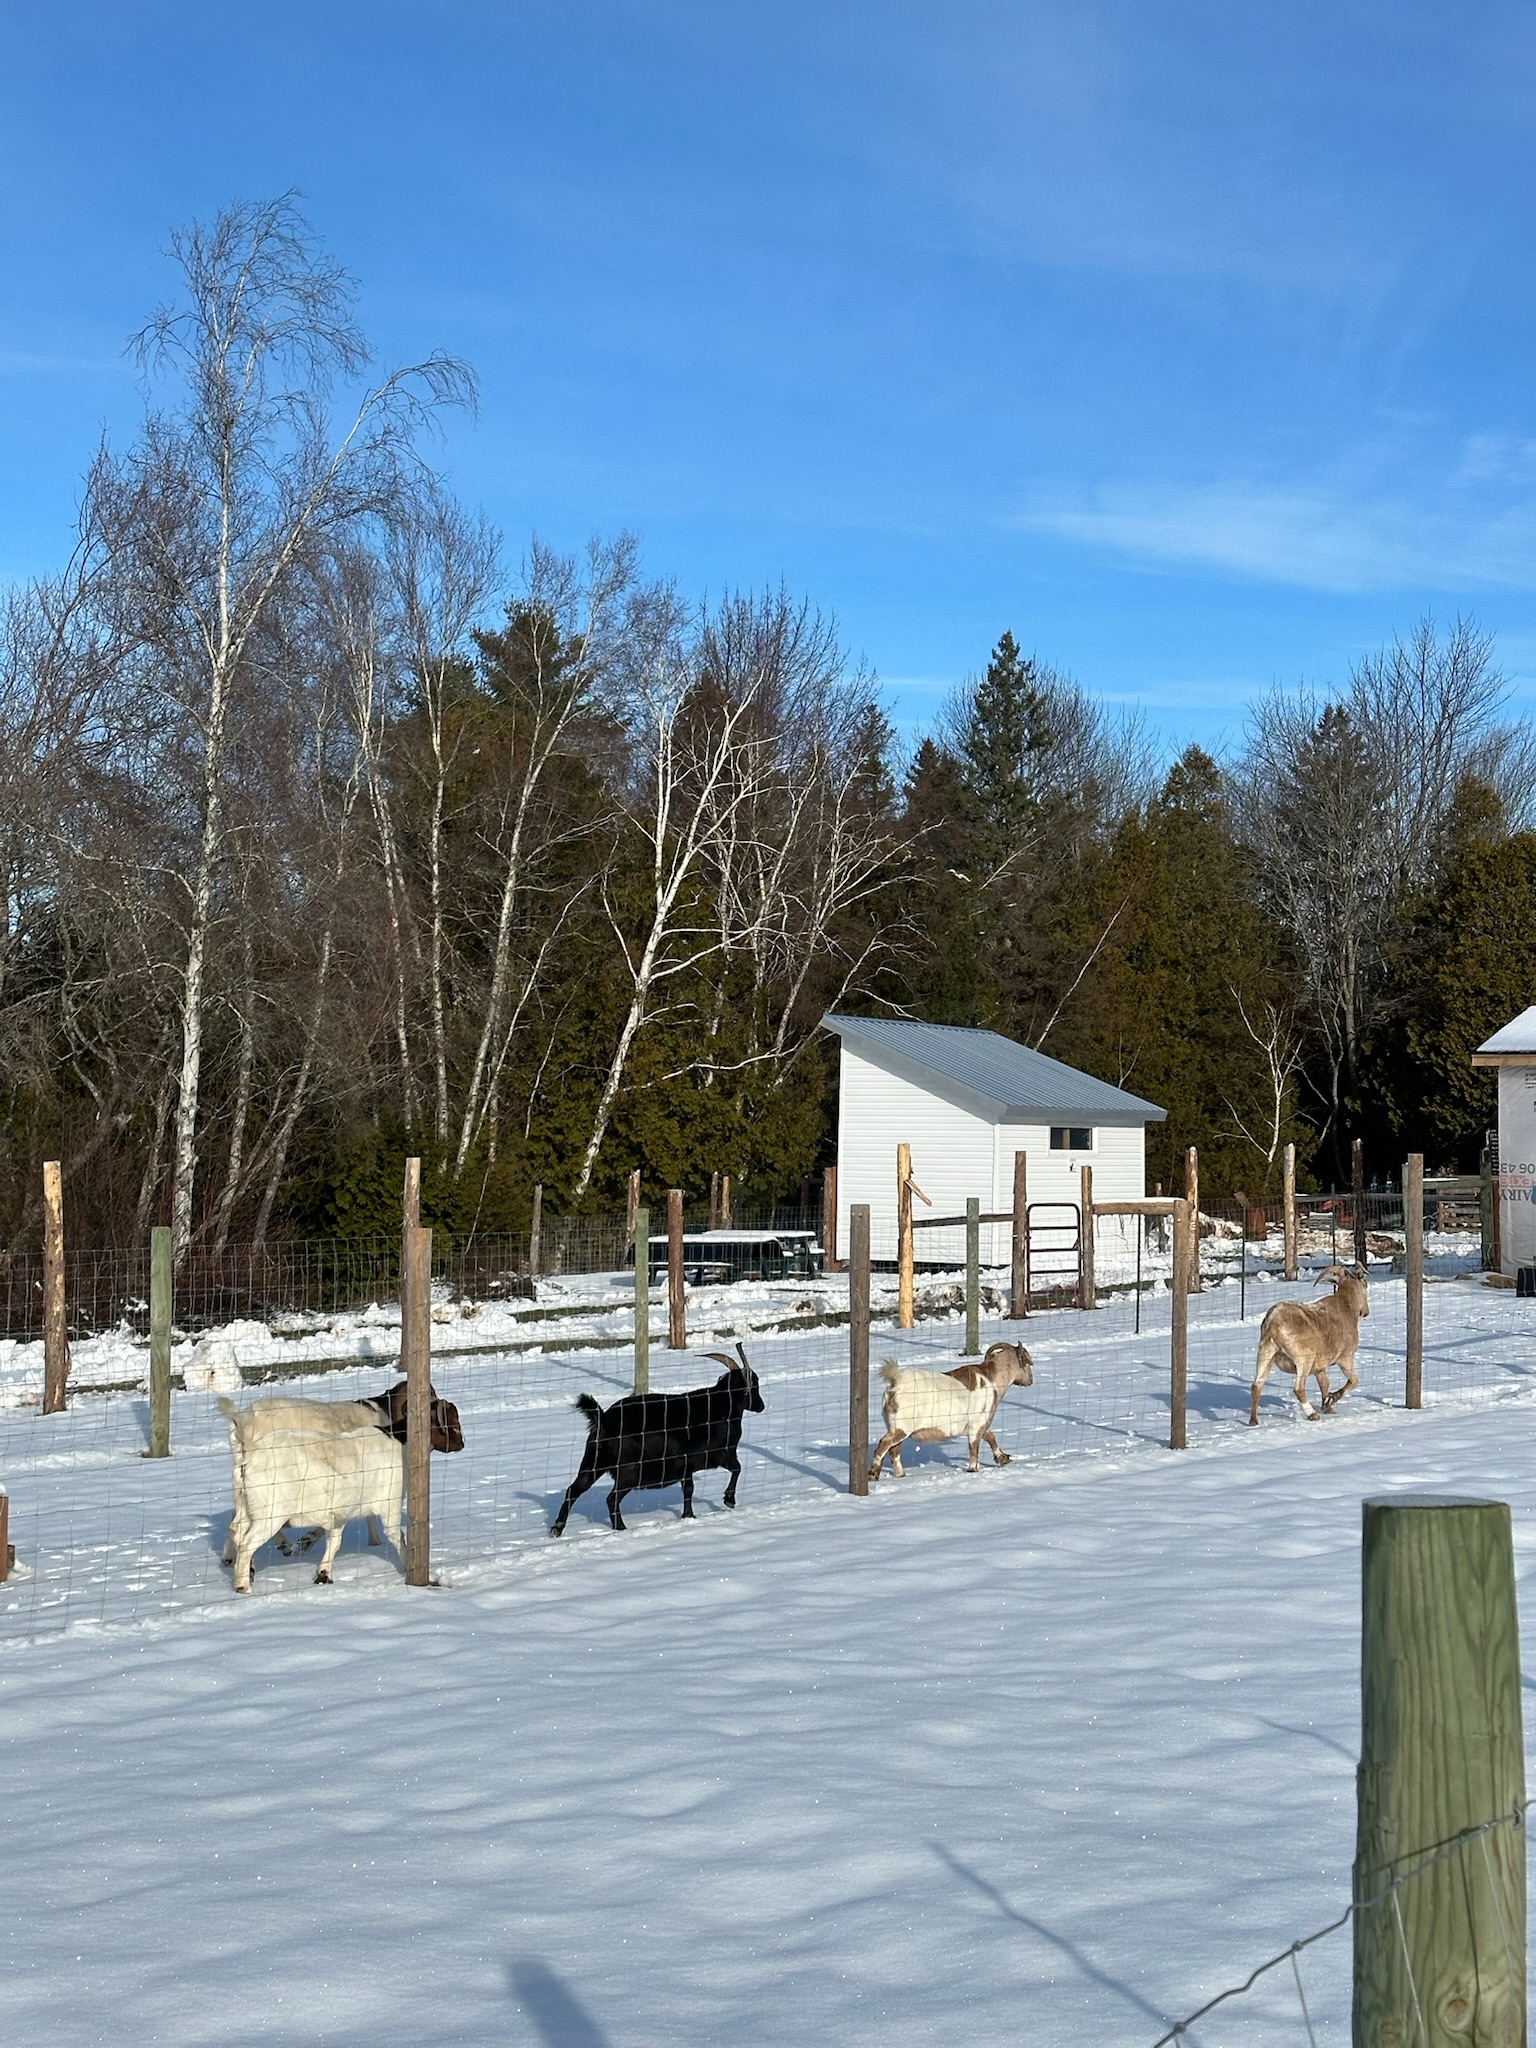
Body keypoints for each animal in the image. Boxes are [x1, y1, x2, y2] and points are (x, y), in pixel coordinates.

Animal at [224, 1426, 405, 1592]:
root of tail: (252, 1454)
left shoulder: (338, 1516)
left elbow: (334, 1542)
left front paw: (323, 1575)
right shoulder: (390, 1505)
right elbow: (398, 1537)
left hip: (246, 1508)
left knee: (236, 1531)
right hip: (270, 1514)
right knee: (247, 1543)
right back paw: (243, 1586)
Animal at [549, 1347, 765, 1535]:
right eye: (753, 1385)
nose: (761, 1406)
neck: (723, 1406)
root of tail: (604, 1419)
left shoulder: (687, 1467)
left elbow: (689, 1490)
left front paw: (689, 1516)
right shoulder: (720, 1454)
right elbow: (737, 1468)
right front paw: (729, 1500)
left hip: (593, 1463)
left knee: (574, 1490)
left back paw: (557, 1529)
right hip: (628, 1472)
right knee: (611, 1498)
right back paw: (621, 1528)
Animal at [868, 1341, 1035, 1481]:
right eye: (1027, 1362)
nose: (1031, 1380)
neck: (992, 1380)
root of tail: (895, 1381)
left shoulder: (980, 1424)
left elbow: (990, 1436)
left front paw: (1003, 1458)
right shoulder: (977, 1424)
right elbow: (974, 1447)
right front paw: (973, 1469)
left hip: (896, 1427)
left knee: (894, 1450)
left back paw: (900, 1474)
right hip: (902, 1427)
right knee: (884, 1444)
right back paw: (873, 1474)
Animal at [1249, 1265, 1369, 1424]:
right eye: (1365, 1284)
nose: (1366, 1312)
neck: (1347, 1306)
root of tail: (1274, 1322)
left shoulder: (1320, 1368)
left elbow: (1324, 1384)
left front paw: (1327, 1407)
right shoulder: (1345, 1358)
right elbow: (1354, 1381)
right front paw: (1331, 1399)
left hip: (1266, 1355)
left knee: (1257, 1385)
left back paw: (1253, 1421)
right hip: (1303, 1360)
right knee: (1298, 1388)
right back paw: (1312, 1414)